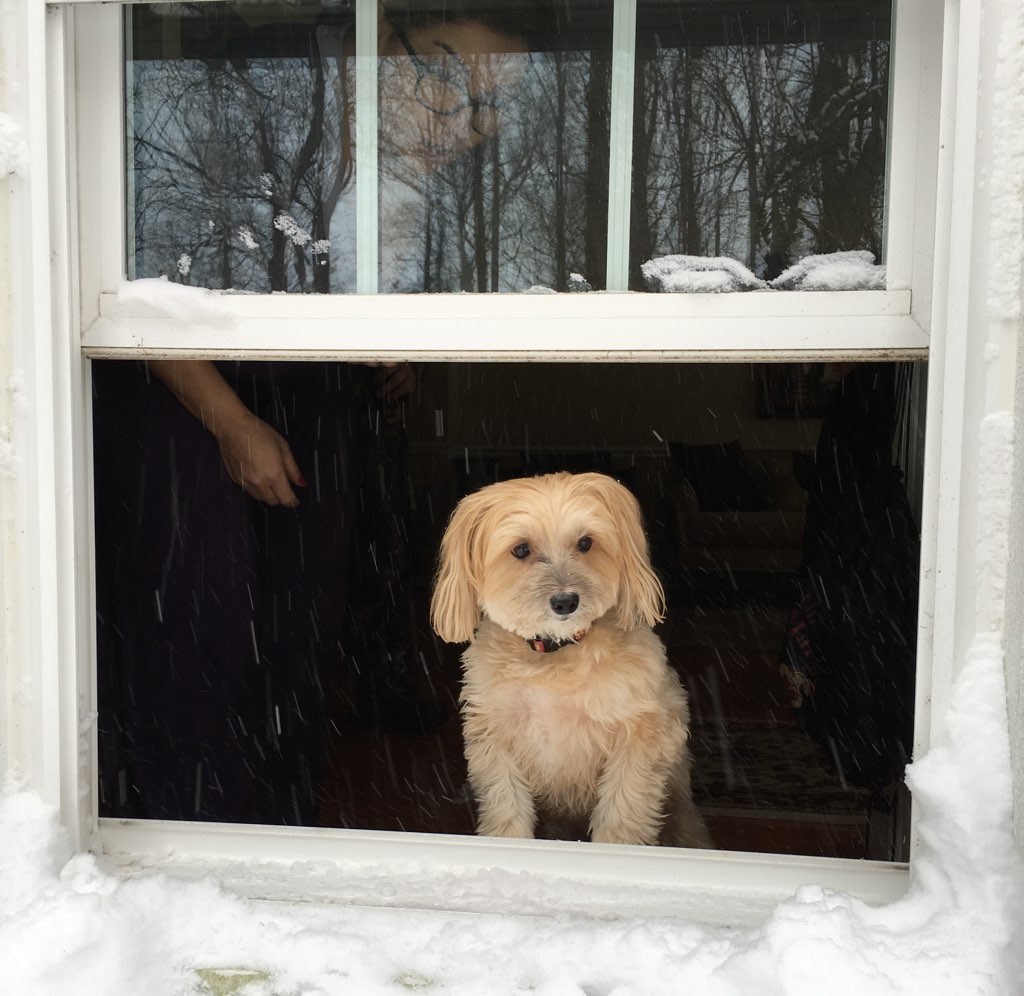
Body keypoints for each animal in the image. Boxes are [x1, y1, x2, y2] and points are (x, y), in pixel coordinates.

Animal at [428, 474, 708, 847]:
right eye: (521, 549)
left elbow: (621, 816)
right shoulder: (496, 743)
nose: (565, 602)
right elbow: (507, 810)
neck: (554, 653)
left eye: (586, 542)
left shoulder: (638, 739)